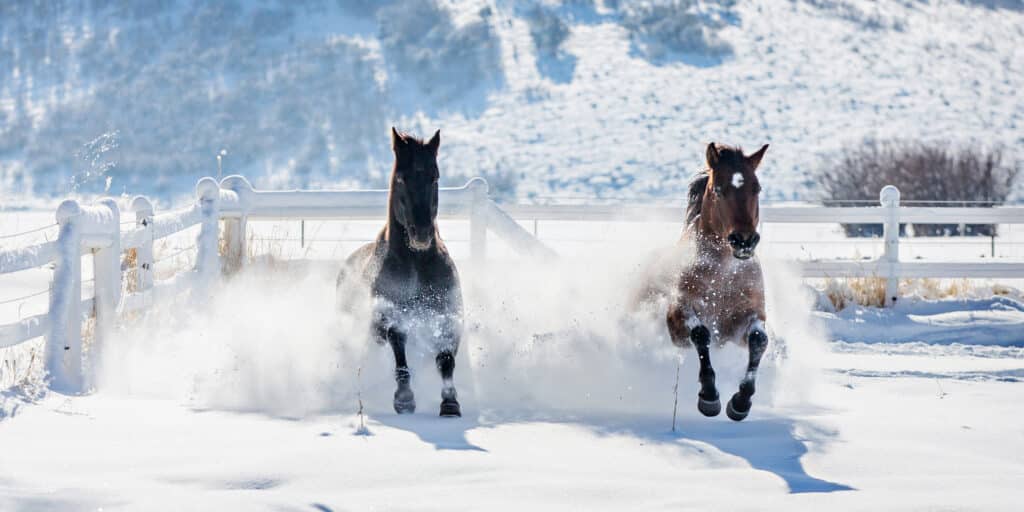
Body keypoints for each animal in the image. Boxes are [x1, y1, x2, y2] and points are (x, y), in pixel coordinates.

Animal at [336, 127, 463, 417]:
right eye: (402, 179)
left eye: (434, 177)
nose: (422, 234)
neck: (416, 265)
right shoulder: (391, 317)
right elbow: (400, 355)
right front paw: (404, 399)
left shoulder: (447, 314)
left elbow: (446, 360)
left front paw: (450, 402)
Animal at [665, 142, 771, 422]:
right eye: (719, 190)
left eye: (757, 188)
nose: (744, 241)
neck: (723, 275)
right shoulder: (678, 319)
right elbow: (701, 334)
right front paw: (709, 397)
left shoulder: (744, 322)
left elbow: (759, 340)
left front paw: (741, 402)